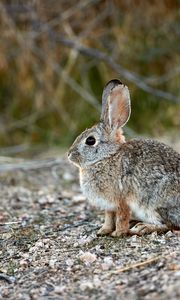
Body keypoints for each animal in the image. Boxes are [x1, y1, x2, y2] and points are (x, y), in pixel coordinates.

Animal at [68, 79, 180, 237]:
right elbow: (108, 217)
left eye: (90, 140)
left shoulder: (122, 200)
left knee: (167, 225)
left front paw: (118, 233)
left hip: (154, 204)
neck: (107, 157)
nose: (69, 154)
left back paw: (142, 228)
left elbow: (121, 217)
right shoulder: (108, 205)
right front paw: (103, 231)